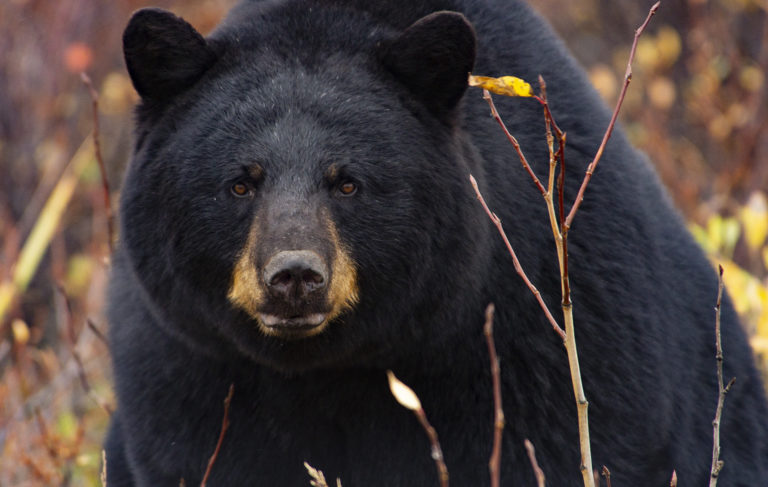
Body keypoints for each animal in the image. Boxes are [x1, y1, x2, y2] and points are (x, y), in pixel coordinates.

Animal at [106, 0, 768, 486]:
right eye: (241, 183)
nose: (295, 276)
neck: (330, 370)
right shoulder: (187, 371)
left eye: (348, 183)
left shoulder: (546, 347)